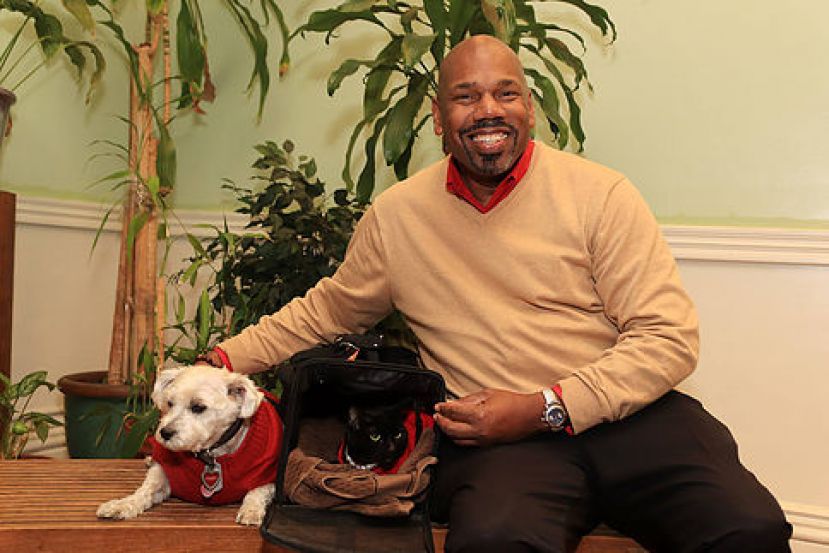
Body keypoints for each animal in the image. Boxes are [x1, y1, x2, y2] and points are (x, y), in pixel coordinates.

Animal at [96, 364, 284, 524]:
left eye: (198, 407)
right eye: (170, 403)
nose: (165, 433)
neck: (210, 454)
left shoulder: (270, 479)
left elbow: (257, 492)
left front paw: (251, 510)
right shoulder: (162, 475)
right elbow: (145, 490)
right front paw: (121, 504)